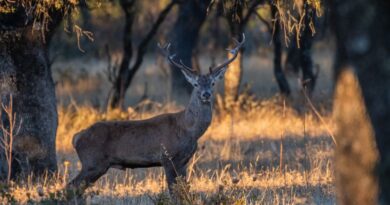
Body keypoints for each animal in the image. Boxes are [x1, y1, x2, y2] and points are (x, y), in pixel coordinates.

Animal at [66, 34, 244, 195]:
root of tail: (76, 137)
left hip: (94, 164)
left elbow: (184, 190)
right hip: (93, 162)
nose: (206, 94)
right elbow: (174, 192)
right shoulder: (168, 157)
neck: (188, 130)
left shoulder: (183, 161)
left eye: (212, 83)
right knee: (71, 186)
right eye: (195, 84)